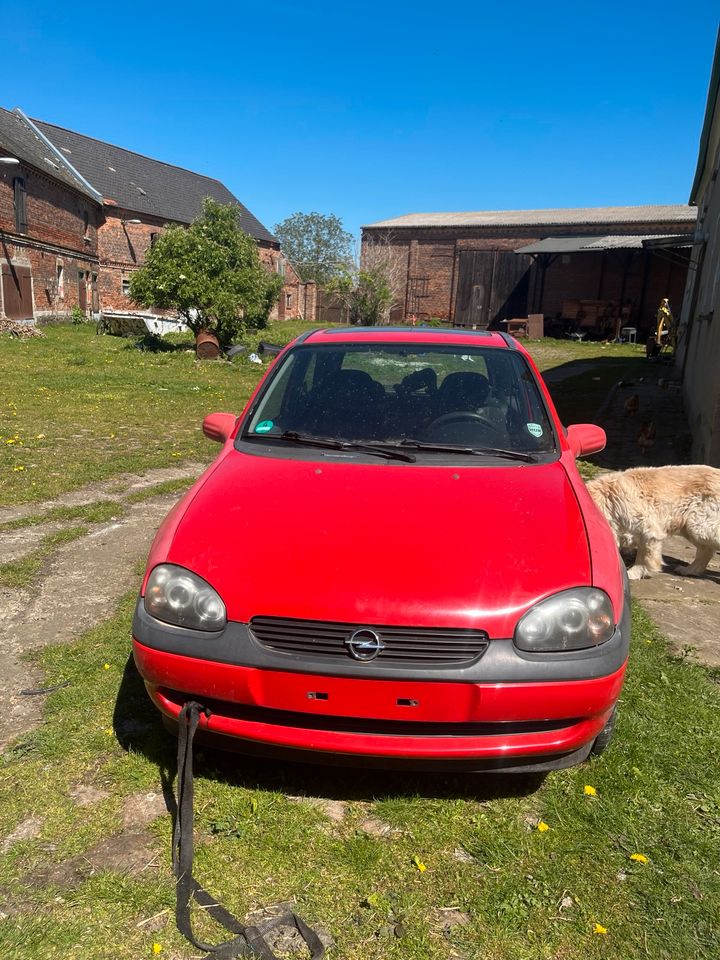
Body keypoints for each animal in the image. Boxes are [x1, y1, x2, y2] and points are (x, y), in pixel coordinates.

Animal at [584, 464, 720, 576]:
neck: (608, 501)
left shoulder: (648, 528)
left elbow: (644, 555)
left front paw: (634, 573)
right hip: (691, 526)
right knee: (706, 550)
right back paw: (690, 570)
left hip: (700, 525)